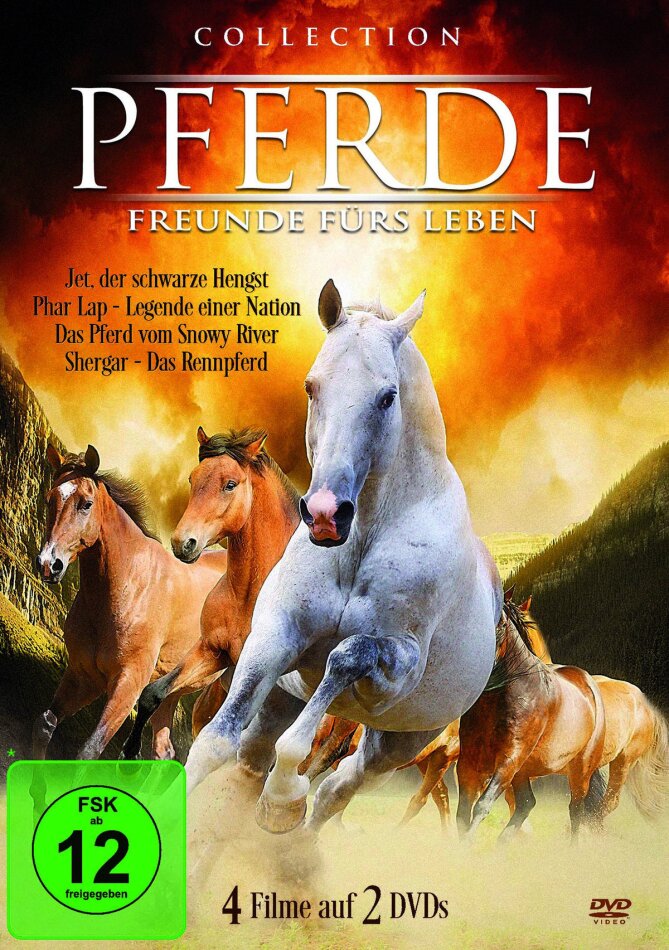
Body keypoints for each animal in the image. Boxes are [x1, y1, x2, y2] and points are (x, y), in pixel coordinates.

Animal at [33, 445, 227, 760]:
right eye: (51, 498)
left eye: (86, 504)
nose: (49, 564)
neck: (129, 586)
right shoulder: (83, 676)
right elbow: (45, 724)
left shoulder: (127, 685)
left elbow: (88, 750)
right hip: (173, 690)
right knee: (164, 750)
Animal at [120, 427, 302, 761]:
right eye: (193, 479)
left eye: (230, 484)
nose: (183, 543)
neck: (250, 596)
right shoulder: (212, 651)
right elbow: (153, 694)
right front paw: (129, 753)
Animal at [184, 279, 502, 837]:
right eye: (312, 387)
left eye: (387, 396)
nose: (326, 514)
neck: (360, 544)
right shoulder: (274, 635)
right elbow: (214, 742)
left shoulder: (396, 668)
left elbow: (344, 658)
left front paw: (284, 796)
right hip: (284, 698)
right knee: (252, 761)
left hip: (398, 741)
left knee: (337, 789)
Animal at [455, 600, 606, 840]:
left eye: (500, 625)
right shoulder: (469, 761)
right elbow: (462, 812)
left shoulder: (509, 759)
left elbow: (482, 805)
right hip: (523, 771)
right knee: (527, 803)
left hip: (580, 769)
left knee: (576, 809)